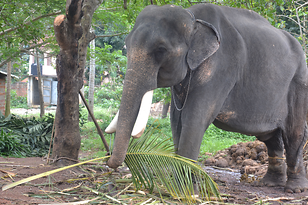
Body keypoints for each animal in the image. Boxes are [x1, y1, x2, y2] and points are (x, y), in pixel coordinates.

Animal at [106, 3, 308, 193]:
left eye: (161, 50)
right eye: (126, 45)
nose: (110, 164)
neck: (193, 18)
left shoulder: (221, 67)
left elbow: (194, 119)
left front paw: (187, 191)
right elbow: (177, 120)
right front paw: (184, 186)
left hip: (299, 83)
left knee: (294, 133)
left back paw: (294, 189)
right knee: (270, 136)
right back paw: (269, 183)